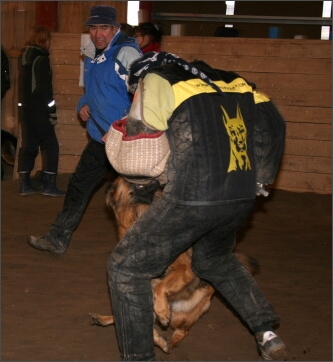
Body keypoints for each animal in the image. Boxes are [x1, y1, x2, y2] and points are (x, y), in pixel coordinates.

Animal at [89, 177, 256, 352]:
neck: (139, 212)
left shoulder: (184, 268)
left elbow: (161, 287)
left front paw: (162, 312)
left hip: (184, 314)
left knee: (183, 330)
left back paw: (170, 339)